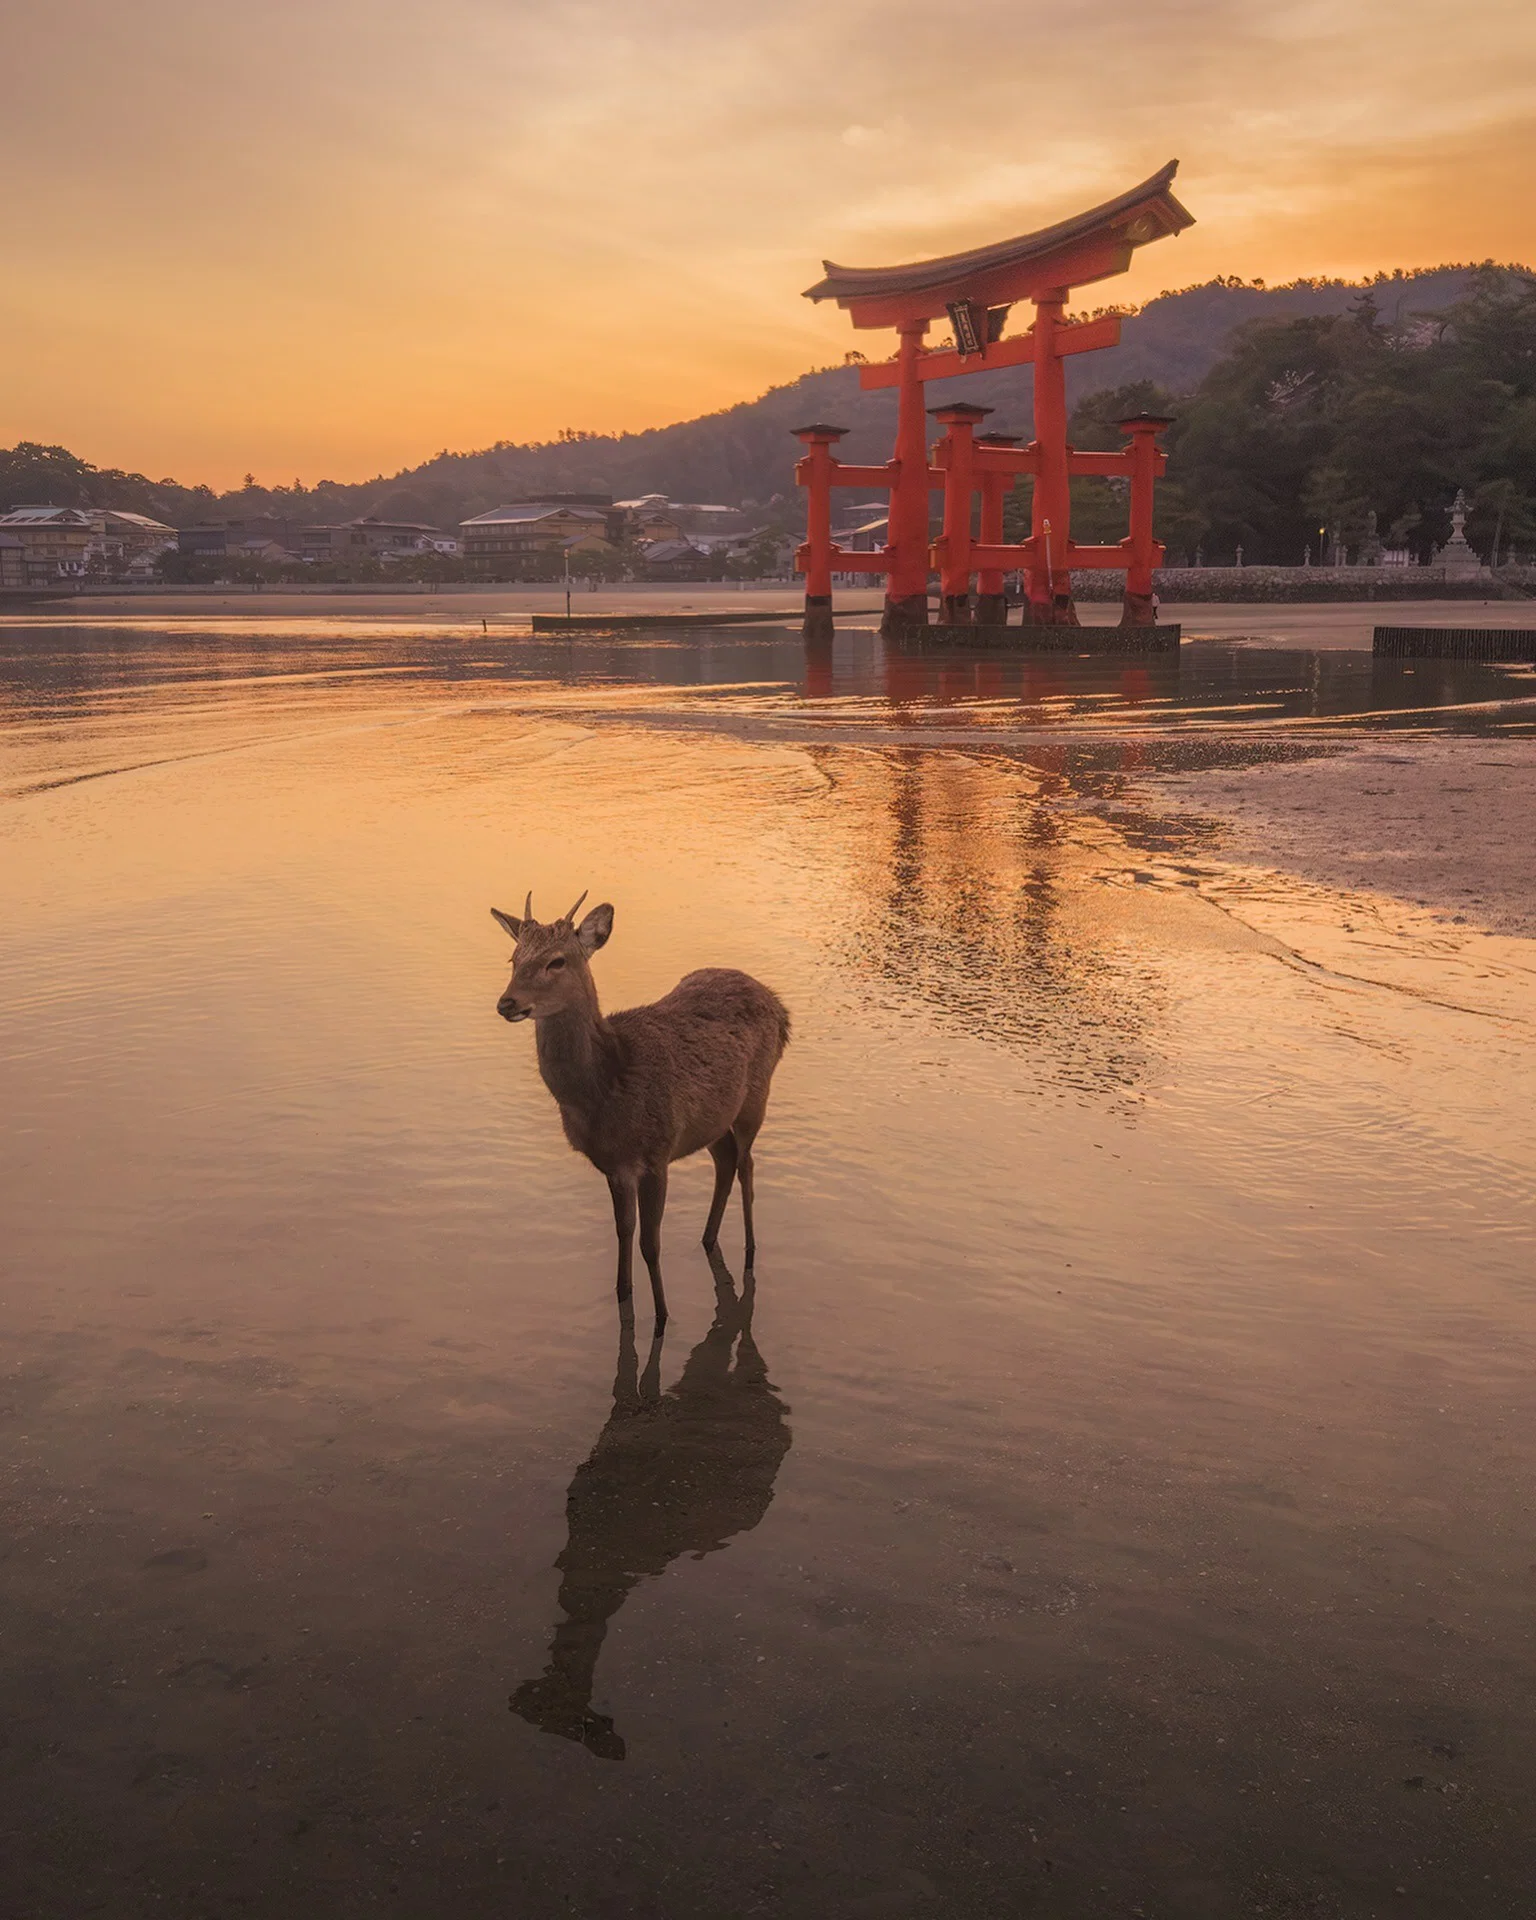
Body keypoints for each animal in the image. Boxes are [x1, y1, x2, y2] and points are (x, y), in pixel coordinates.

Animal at [491, 891, 790, 1329]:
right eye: (514, 958)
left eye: (556, 961)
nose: (507, 1002)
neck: (608, 1086)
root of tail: (780, 1005)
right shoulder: (613, 1164)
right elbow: (624, 1230)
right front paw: (622, 1294)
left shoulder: (656, 1152)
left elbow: (651, 1242)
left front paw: (663, 1317)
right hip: (713, 1122)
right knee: (726, 1159)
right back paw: (708, 1239)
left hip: (756, 1096)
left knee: (747, 1166)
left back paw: (750, 1252)